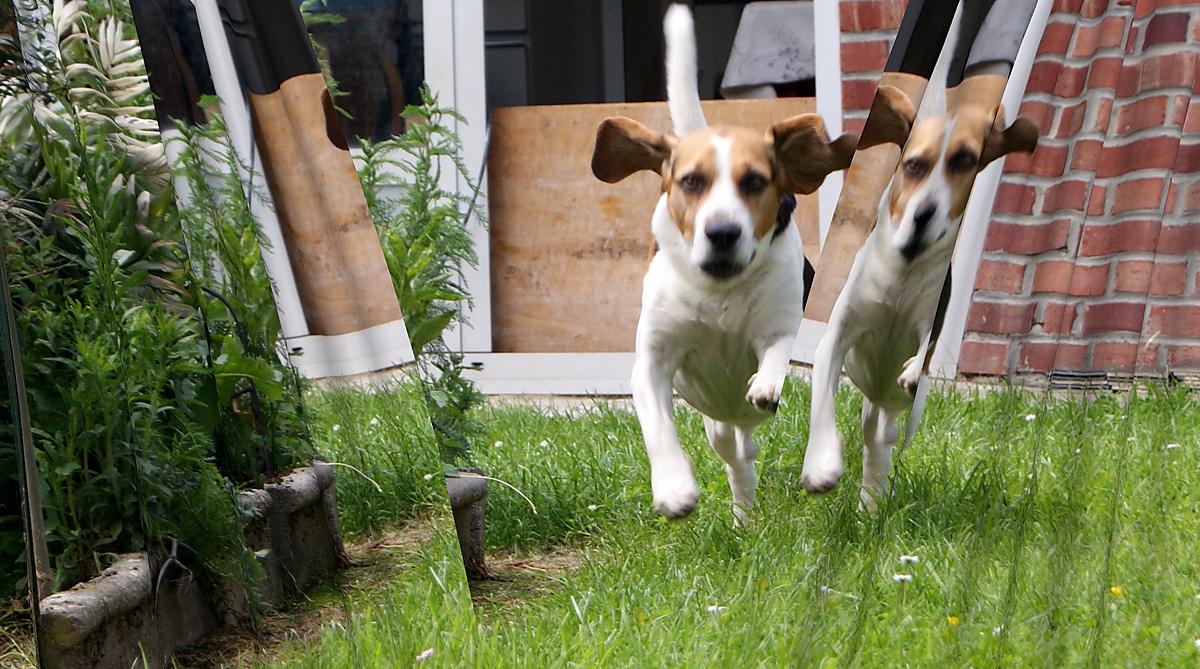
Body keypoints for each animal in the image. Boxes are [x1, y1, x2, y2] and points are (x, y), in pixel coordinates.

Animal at [588, 5, 854, 525]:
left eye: (754, 181)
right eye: (691, 181)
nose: (723, 232)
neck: (719, 293)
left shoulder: (778, 328)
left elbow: (777, 355)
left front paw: (768, 386)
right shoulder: (653, 360)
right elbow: (657, 425)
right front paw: (674, 488)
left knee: (745, 448)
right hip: (716, 424)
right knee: (736, 457)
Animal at [801, 83, 1036, 505]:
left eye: (966, 162)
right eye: (913, 166)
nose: (925, 214)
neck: (905, 266)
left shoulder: (931, 319)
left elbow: (925, 346)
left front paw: (912, 370)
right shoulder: (836, 338)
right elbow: (823, 403)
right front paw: (822, 465)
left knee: (885, 441)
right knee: (873, 441)